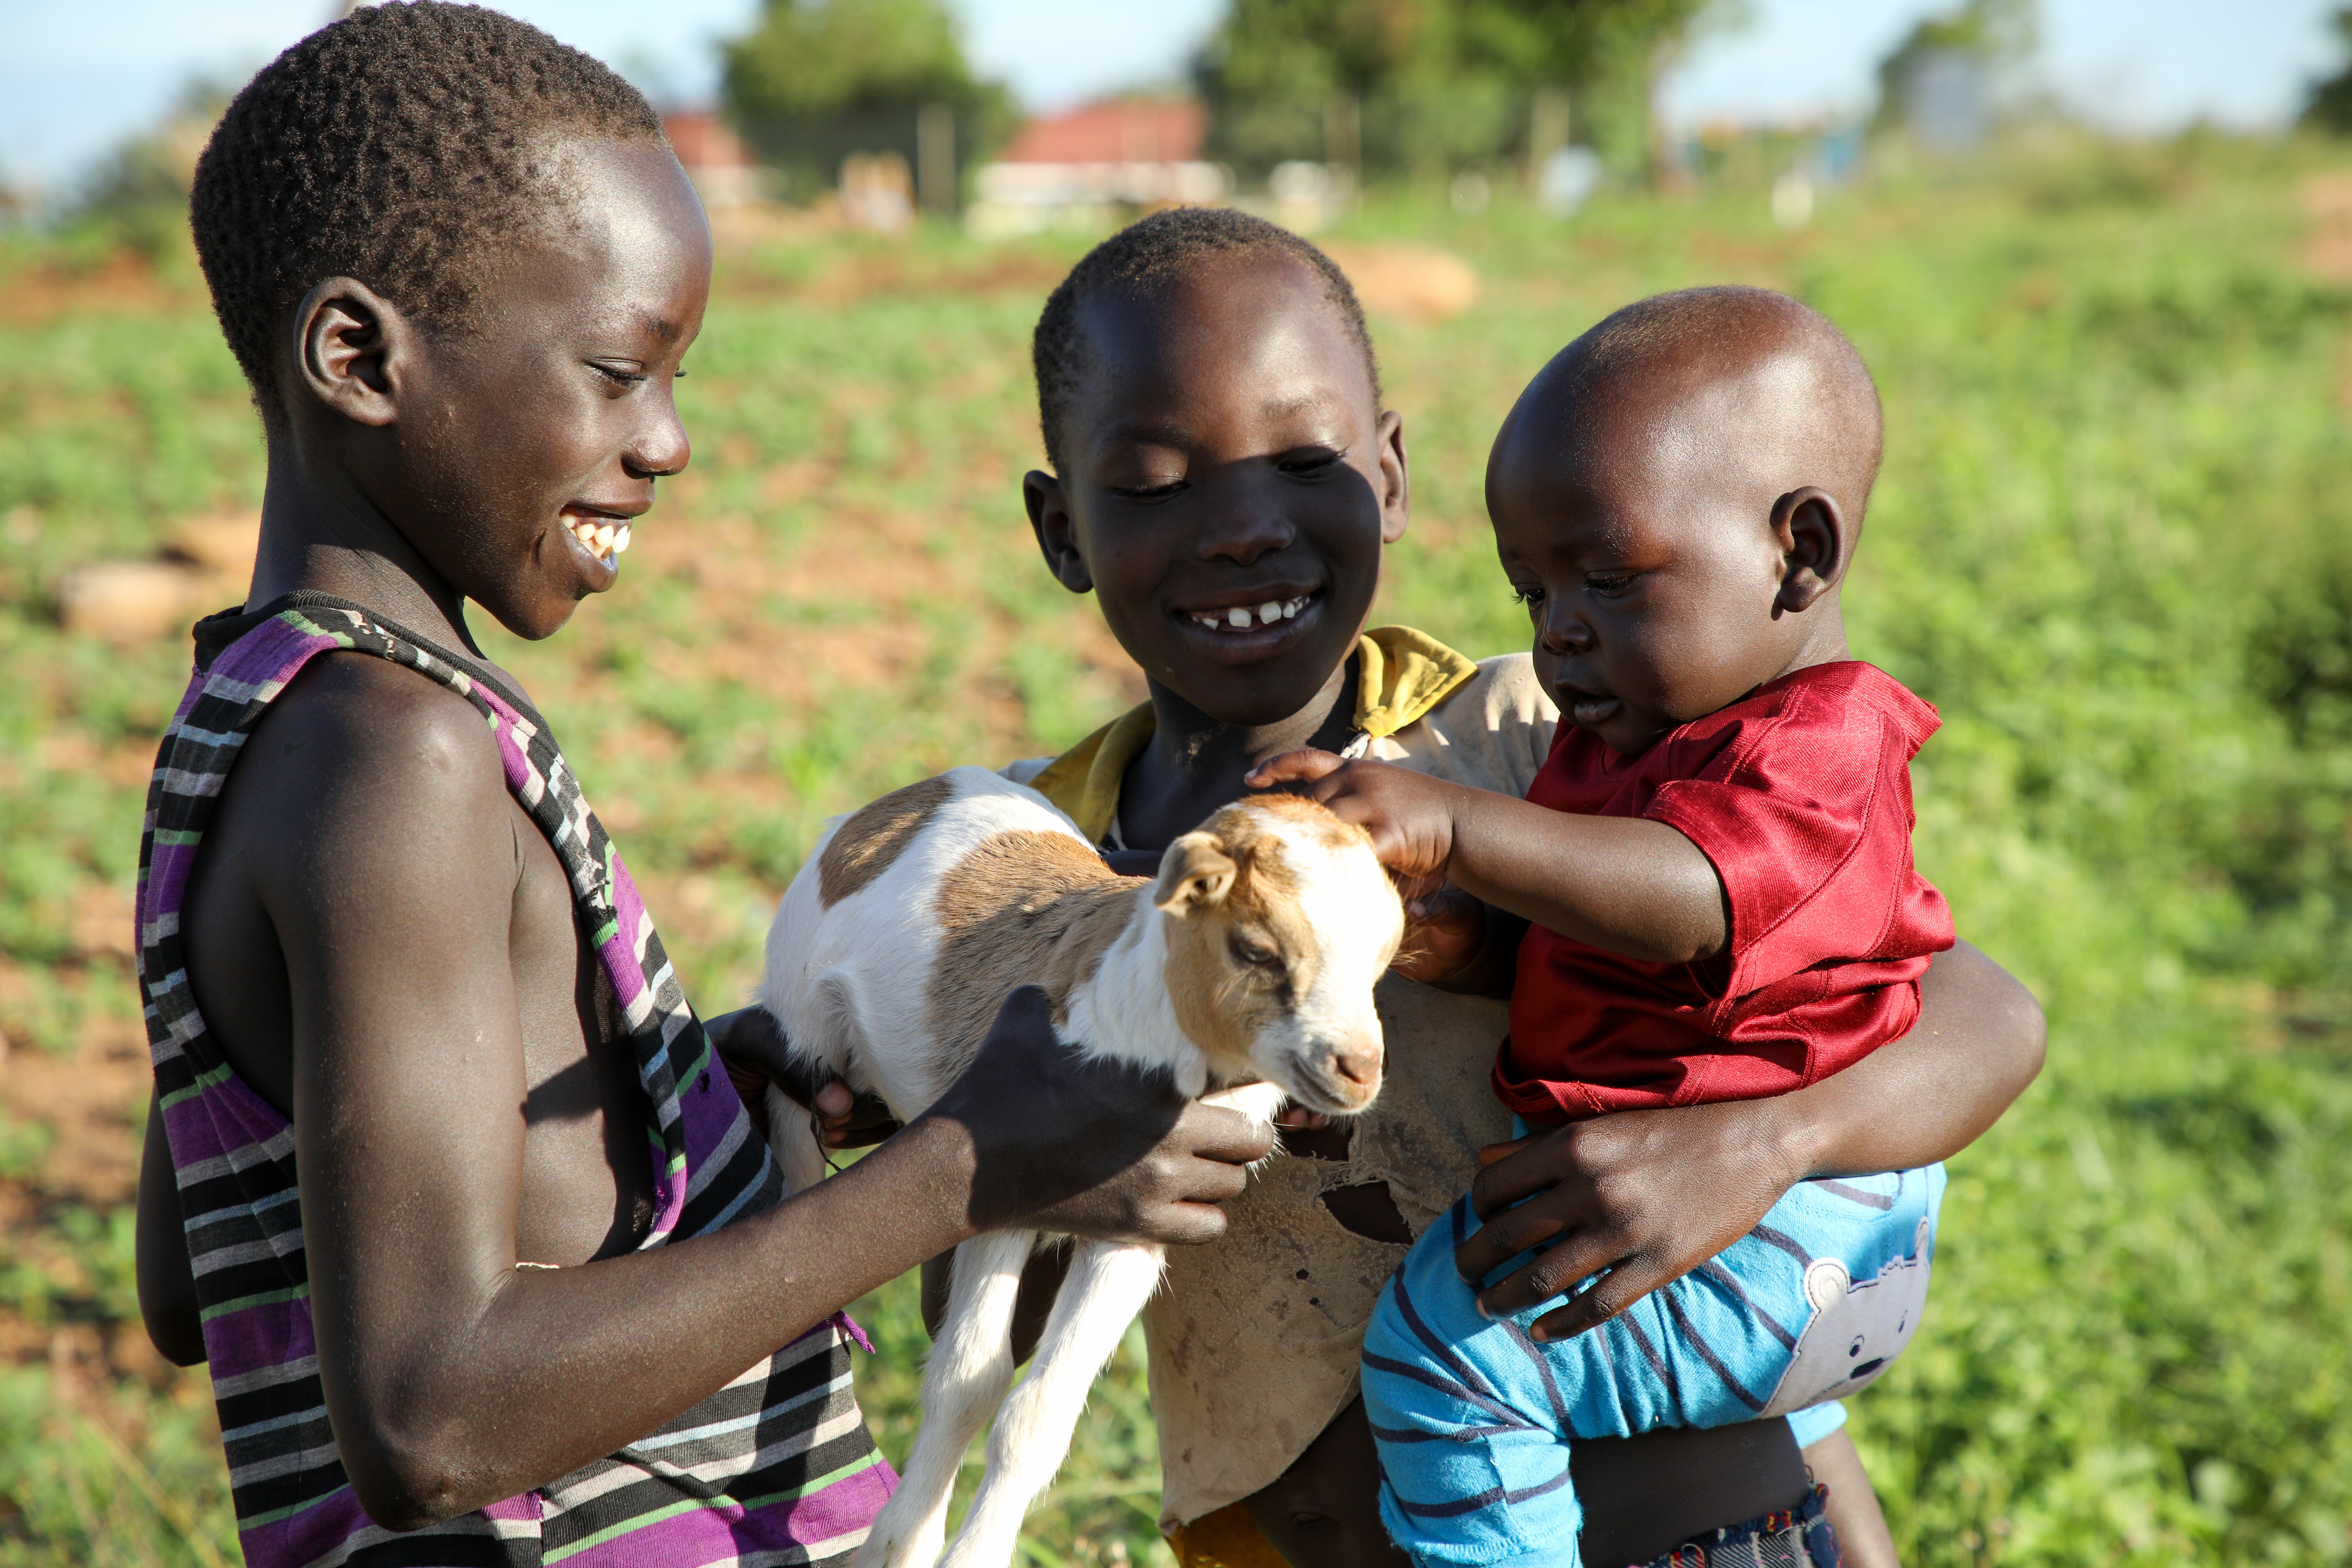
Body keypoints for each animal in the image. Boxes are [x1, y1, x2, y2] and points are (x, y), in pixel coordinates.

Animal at [762, 766, 1402, 1568]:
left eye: (1382, 957)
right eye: (1256, 949)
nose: (1358, 1070)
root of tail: (923, 790)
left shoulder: (1143, 1227)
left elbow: (1037, 1416)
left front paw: (965, 1553)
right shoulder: (1006, 1192)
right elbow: (967, 1381)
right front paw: (898, 1548)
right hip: (800, 1038)